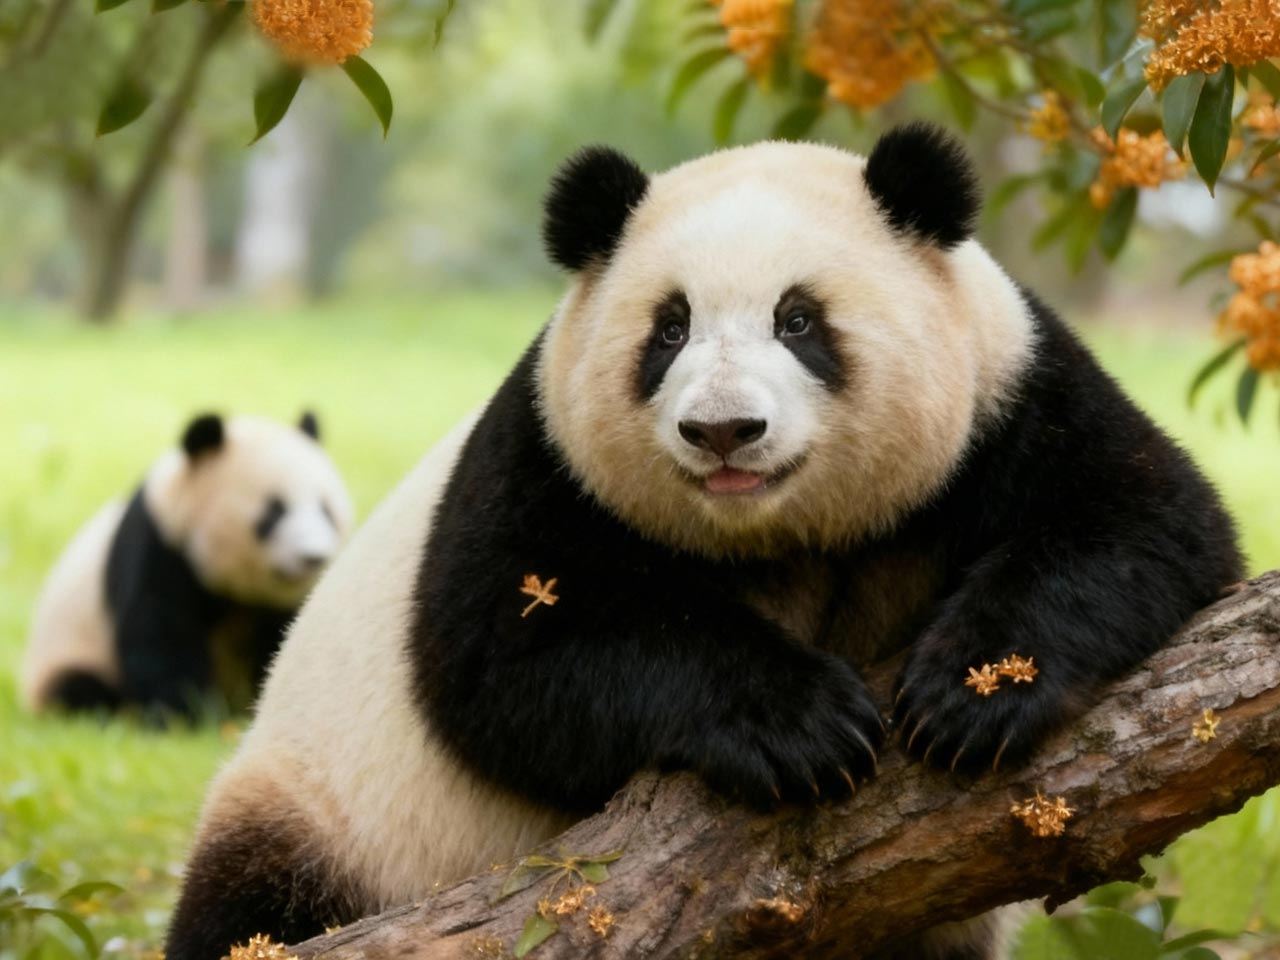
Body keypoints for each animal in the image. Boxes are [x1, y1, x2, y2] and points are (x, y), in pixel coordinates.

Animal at [22, 412, 353, 720]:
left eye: (326, 511)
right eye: (274, 512)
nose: (313, 557)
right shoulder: (161, 541)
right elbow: (161, 627)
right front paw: (185, 713)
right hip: (68, 654)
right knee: (77, 688)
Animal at [165, 125, 1241, 960]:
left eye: (799, 319)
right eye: (669, 329)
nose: (723, 431)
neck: (787, 536)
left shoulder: (1008, 391)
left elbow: (1144, 525)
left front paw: (971, 693)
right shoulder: (546, 454)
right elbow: (505, 661)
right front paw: (799, 724)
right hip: (328, 813)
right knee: (251, 907)